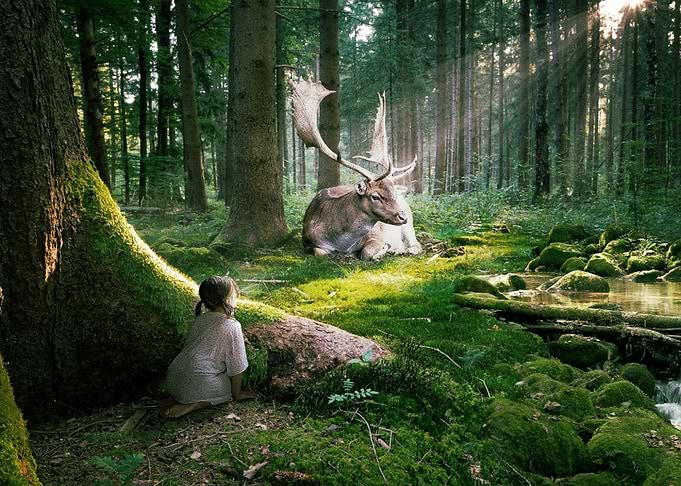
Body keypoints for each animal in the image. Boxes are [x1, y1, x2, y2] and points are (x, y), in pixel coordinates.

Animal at [290, 80, 422, 260]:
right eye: (375, 196)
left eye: (393, 194)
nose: (402, 216)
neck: (341, 242)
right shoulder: (308, 241)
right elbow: (320, 252)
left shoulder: (376, 235)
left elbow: (366, 253)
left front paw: (382, 250)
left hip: (409, 221)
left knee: (416, 243)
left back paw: (403, 249)